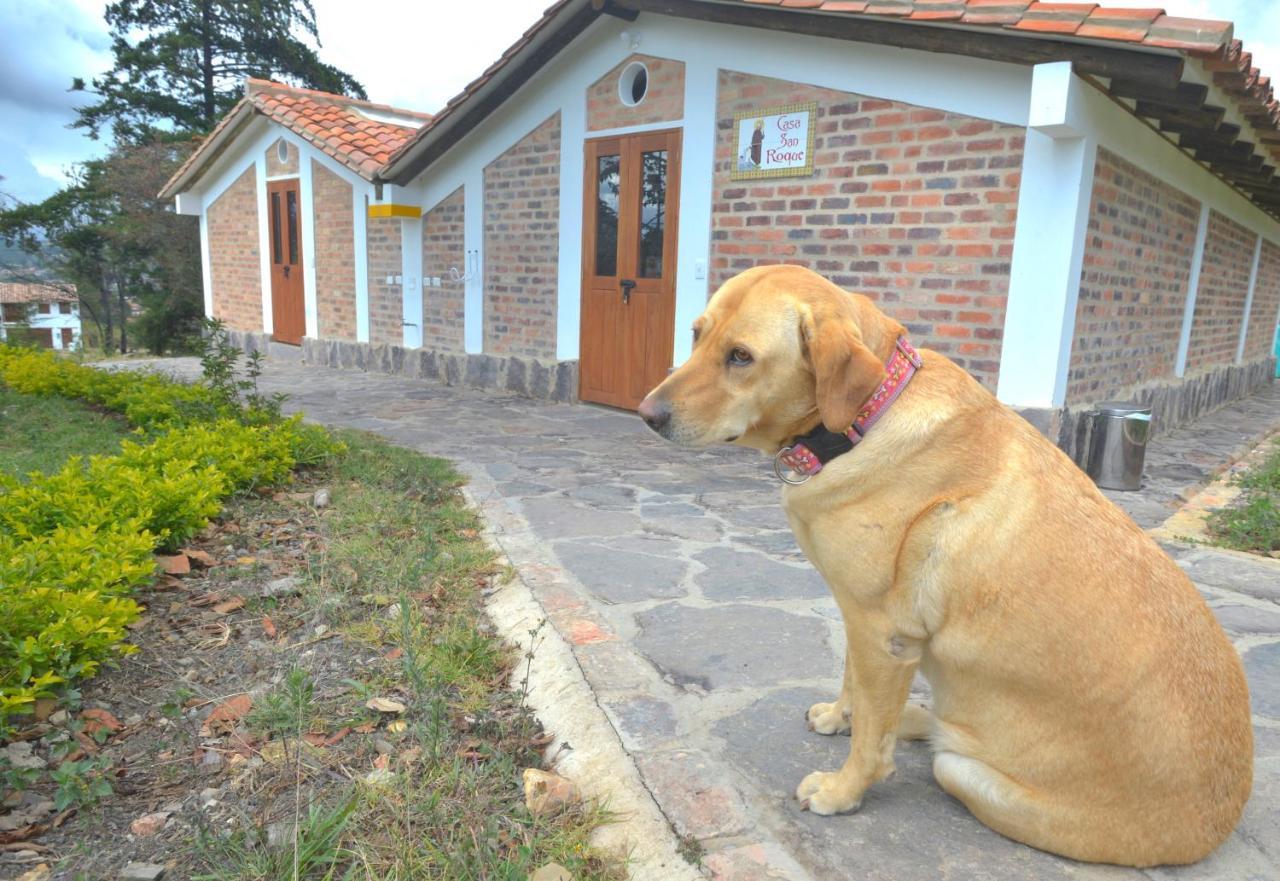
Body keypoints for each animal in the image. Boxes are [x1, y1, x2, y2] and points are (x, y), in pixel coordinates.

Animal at [634, 263, 1254, 865]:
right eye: (696, 334)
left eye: (741, 356)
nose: (645, 414)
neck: (867, 417)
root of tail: (1221, 824)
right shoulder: (860, 621)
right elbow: (854, 686)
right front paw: (841, 715)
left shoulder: (882, 632)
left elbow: (869, 743)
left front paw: (842, 791)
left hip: (964, 774)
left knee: (938, 750)